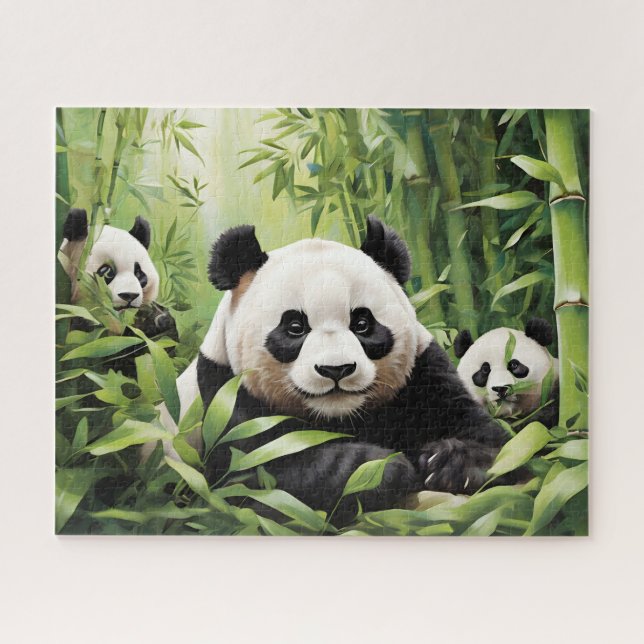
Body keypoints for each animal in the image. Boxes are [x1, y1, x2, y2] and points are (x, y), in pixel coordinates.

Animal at [193, 215, 517, 525]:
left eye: (362, 323)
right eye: (295, 327)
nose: (336, 369)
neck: (341, 415)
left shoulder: (425, 377)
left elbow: (498, 445)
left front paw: (449, 462)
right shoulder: (227, 396)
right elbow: (257, 473)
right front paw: (379, 469)